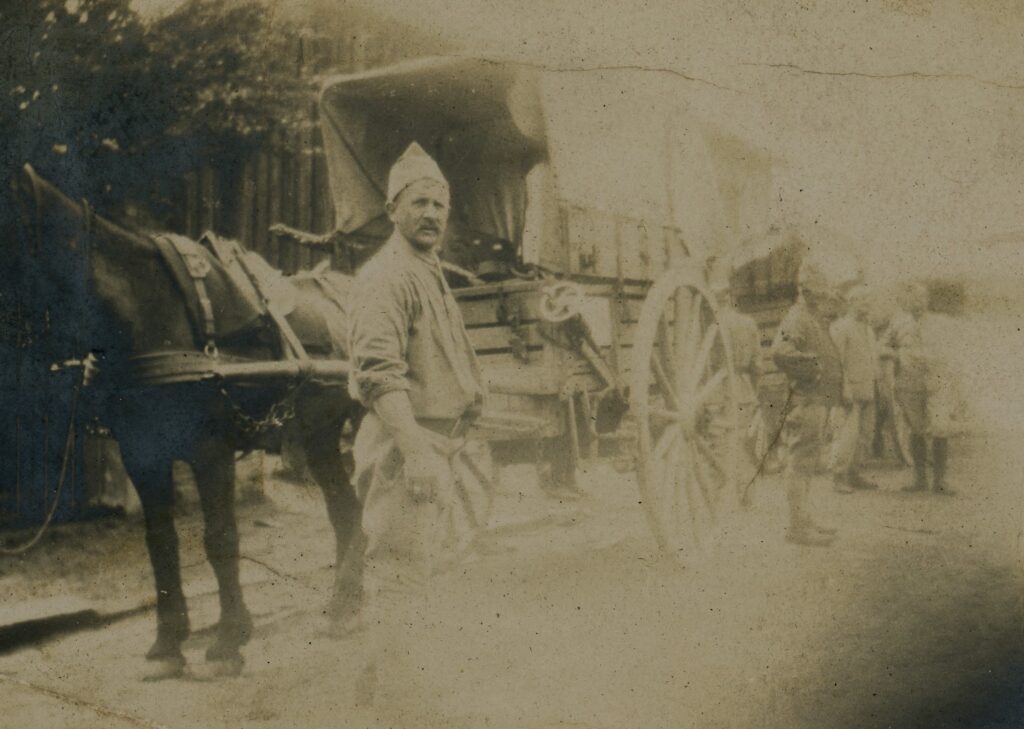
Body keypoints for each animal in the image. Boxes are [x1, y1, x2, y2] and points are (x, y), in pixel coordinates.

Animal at [6, 164, 366, 675]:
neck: (152, 317)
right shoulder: (143, 456)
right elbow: (161, 543)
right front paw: (168, 643)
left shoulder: (210, 451)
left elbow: (219, 538)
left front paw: (230, 639)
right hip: (319, 435)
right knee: (346, 511)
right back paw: (344, 606)